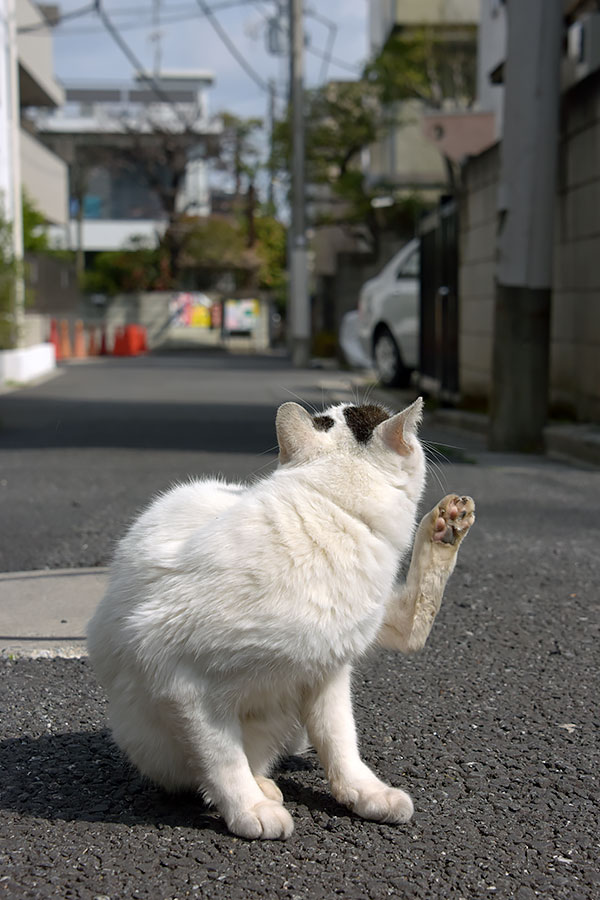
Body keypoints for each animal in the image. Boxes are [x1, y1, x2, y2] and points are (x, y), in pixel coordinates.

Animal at [86, 398, 476, 840]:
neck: (332, 513)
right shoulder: (180, 677)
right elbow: (223, 757)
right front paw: (247, 808)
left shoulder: (329, 672)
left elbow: (341, 743)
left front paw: (364, 793)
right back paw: (260, 789)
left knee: (412, 626)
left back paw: (445, 528)